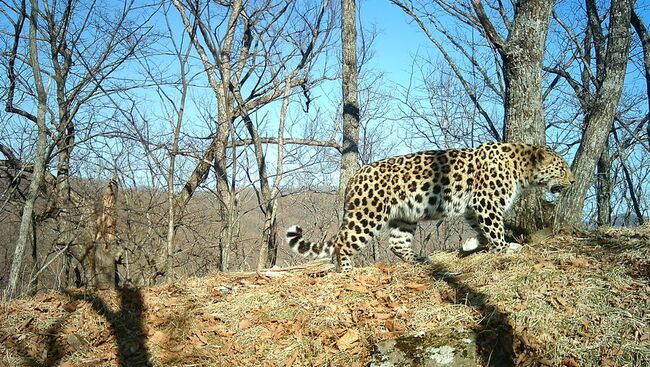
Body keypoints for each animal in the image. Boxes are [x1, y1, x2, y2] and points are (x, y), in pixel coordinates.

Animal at [284, 142, 572, 272]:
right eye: (561, 168)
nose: (572, 180)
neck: (522, 169)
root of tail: (354, 177)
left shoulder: (473, 207)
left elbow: (481, 229)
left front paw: (473, 244)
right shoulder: (486, 202)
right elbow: (495, 230)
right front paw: (505, 248)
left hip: (404, 217)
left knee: (396, 244)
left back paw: (419, 259)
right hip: (368, 215)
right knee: (344, 241)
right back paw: (346, 270)